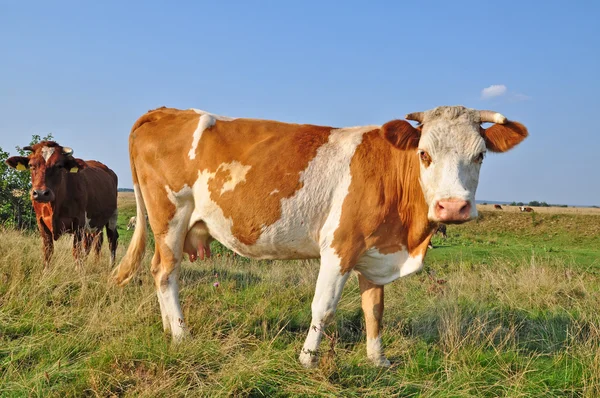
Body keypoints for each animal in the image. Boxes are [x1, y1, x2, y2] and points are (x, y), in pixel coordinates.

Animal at [112, 105, 524, 366]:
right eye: (424, 154)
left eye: (480, 156)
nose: (452, 207)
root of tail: (166, 110)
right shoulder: (340, 246)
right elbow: (323, 306)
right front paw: (307, 359)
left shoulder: (373, 253)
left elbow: (374, 308)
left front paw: (378, 360)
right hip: (170, 216)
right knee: (165, 273)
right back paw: (182, 336)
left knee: (160, 271)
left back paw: (169, 328)